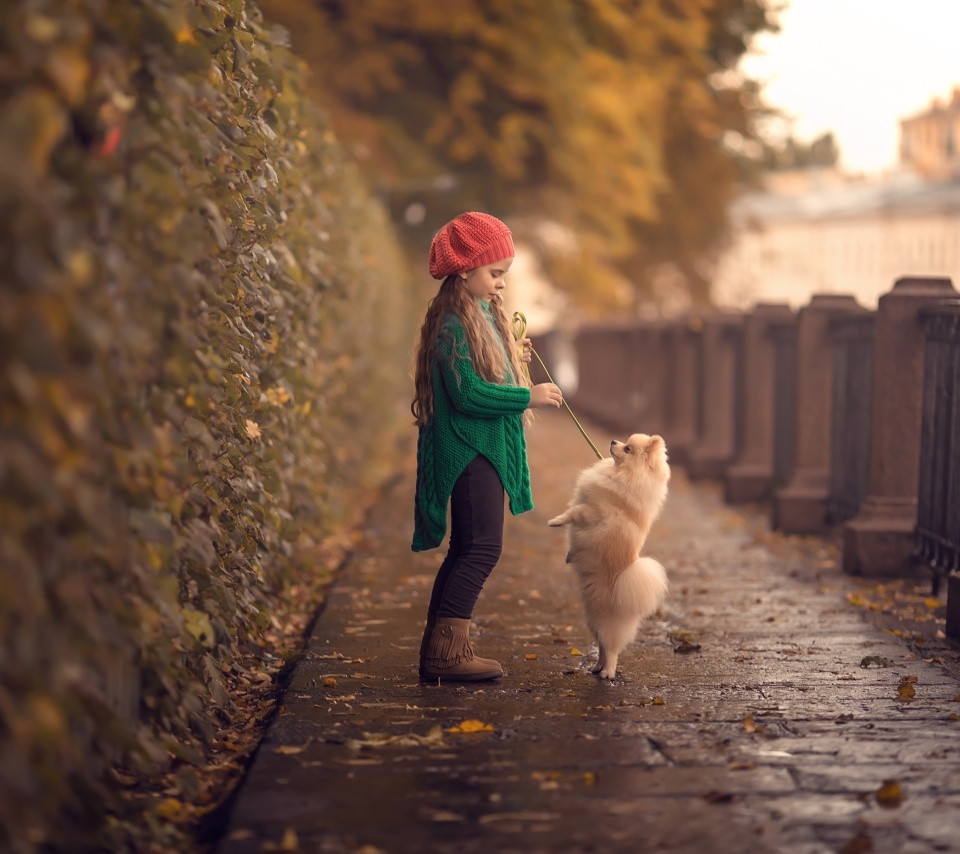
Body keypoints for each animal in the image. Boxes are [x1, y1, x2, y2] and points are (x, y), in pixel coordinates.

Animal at [552, 434, 672, 684]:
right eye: (626, 441)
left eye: (627, 449)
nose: (614, 441)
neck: (621, 475)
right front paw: (570, 554)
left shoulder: (593, 512)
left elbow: (574, 512)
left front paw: (556, 521)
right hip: (593, 619)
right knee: (602, 647)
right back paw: (597, 667)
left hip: (606, 621)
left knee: (612, 648)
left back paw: (608, 673)